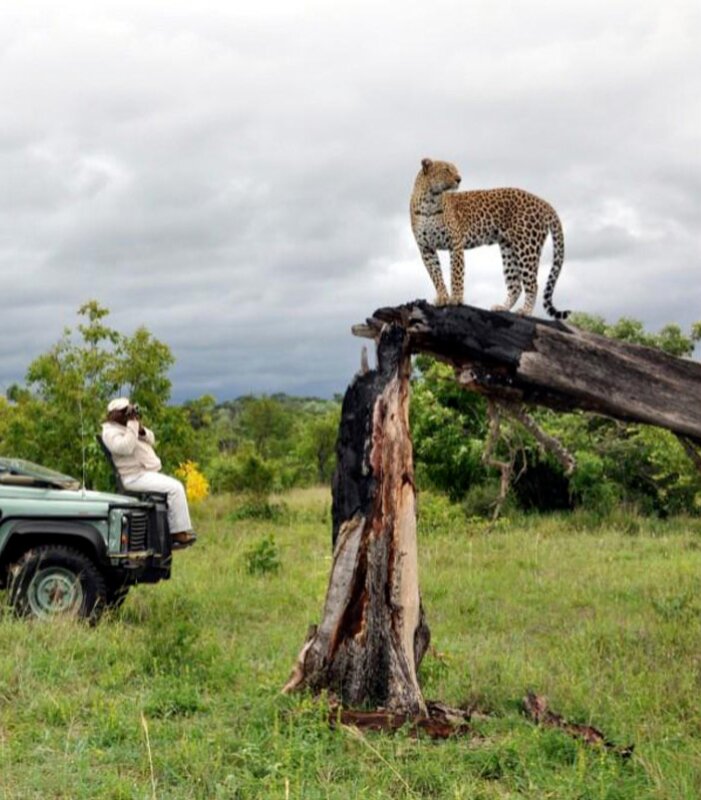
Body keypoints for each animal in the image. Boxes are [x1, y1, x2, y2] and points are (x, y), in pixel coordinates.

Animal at [410, 156, 568, 318]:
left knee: (532, 284)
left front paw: (456, 298)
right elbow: (436, 275)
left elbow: (456, 274)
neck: (429, 201)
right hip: (508, 248)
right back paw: (502, 307)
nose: (459, 179)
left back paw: (525, 311)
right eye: (446, 170)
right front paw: (442, 297)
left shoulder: (455, 244)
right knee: (515, 285)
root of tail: (543, 202)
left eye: (455, 170)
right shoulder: (426, 249)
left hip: (527, 246)